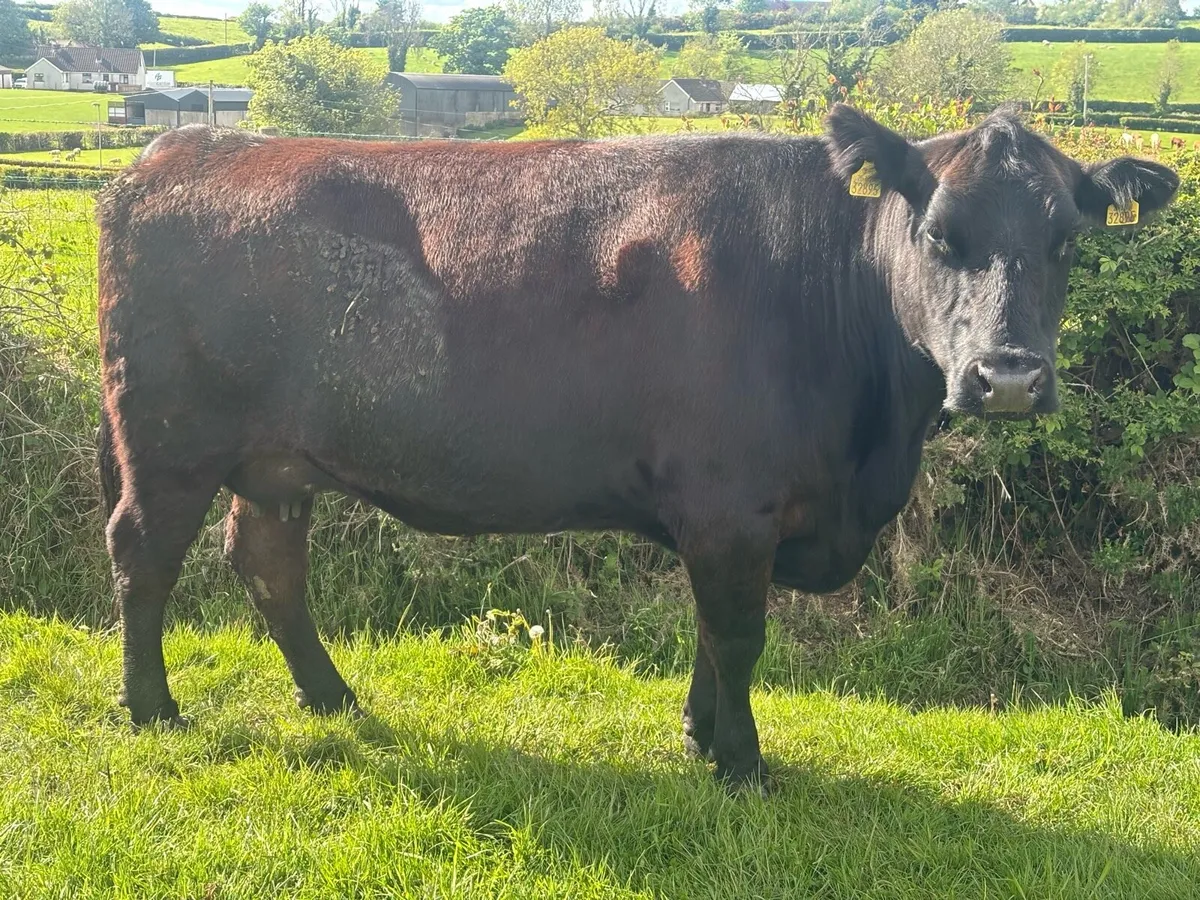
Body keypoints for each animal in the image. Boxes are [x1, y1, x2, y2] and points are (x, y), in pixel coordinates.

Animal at [95, 106, 1179, 793]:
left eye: (1068, 240)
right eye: (941, 233)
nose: (1010, 377)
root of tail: (181, 149)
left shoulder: (727, 518)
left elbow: (710, 630)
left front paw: (702, 737)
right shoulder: (731, 507)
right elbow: (738, 633)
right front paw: (742, 763)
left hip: (276, 461)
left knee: (268, 563)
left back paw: (331, 698)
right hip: (170, 440)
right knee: (143, 554)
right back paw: (152, 709)